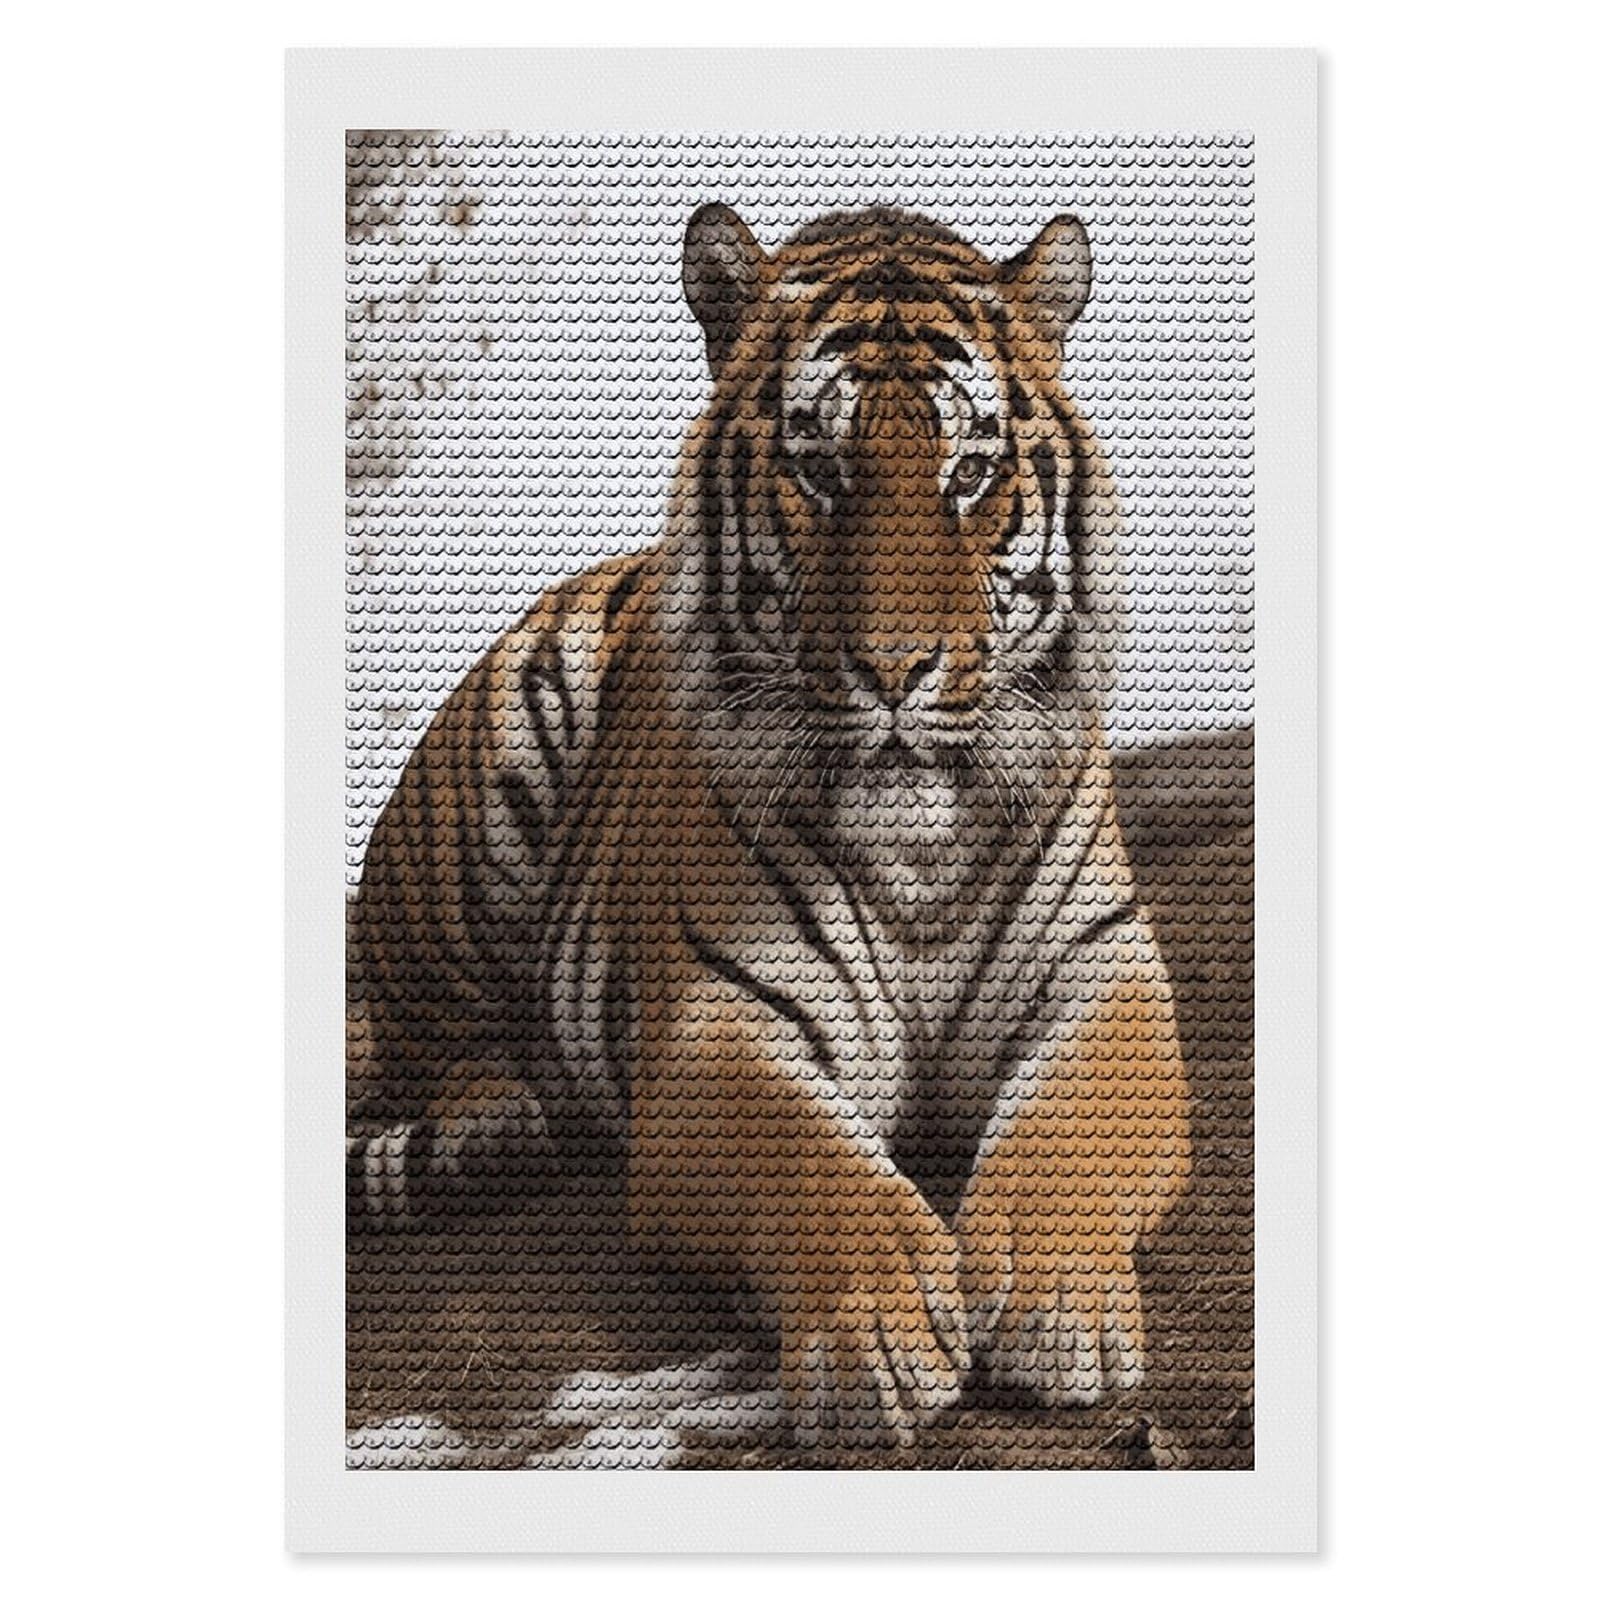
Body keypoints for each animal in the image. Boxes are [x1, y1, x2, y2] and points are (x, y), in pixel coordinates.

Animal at [348, 203, 1191, 1450]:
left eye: (970, 473)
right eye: (819, 469)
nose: (894, 669)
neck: (918, 851)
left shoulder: (1105, 974)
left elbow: (1069, 1130)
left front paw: (1056, 1309)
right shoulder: (720, 1027)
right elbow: (808, 1162)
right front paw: (879, 1338)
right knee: (431, 1041)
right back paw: (496, 1120)